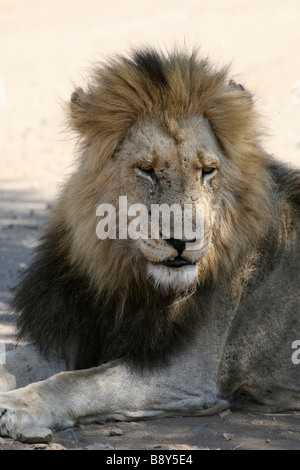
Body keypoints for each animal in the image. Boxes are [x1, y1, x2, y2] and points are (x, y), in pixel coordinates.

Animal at [0, 47, 300, 436]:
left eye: (207, 171)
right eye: (147, 170)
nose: (183, 241)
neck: (129, 281)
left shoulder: (185, 376)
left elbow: (80, 382)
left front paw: (16, 407)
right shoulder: (82, 333)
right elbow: (16, 360)